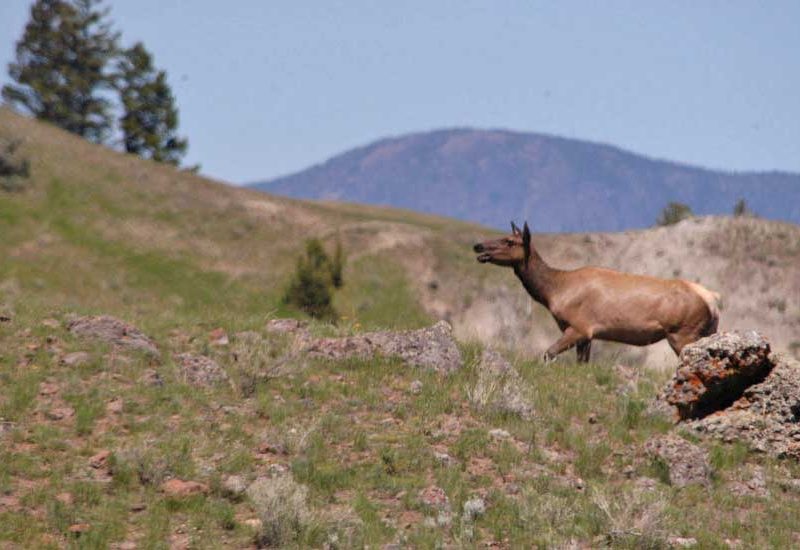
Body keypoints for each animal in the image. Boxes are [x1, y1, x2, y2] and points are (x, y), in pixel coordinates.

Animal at [472, 222, 720, 364]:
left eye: (509, 241)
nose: (478, 246)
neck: (555, 291)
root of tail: (712, 300)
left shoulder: (579, 326)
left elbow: (548, 353)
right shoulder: (587, 336)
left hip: (682, 332)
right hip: (705, 332)